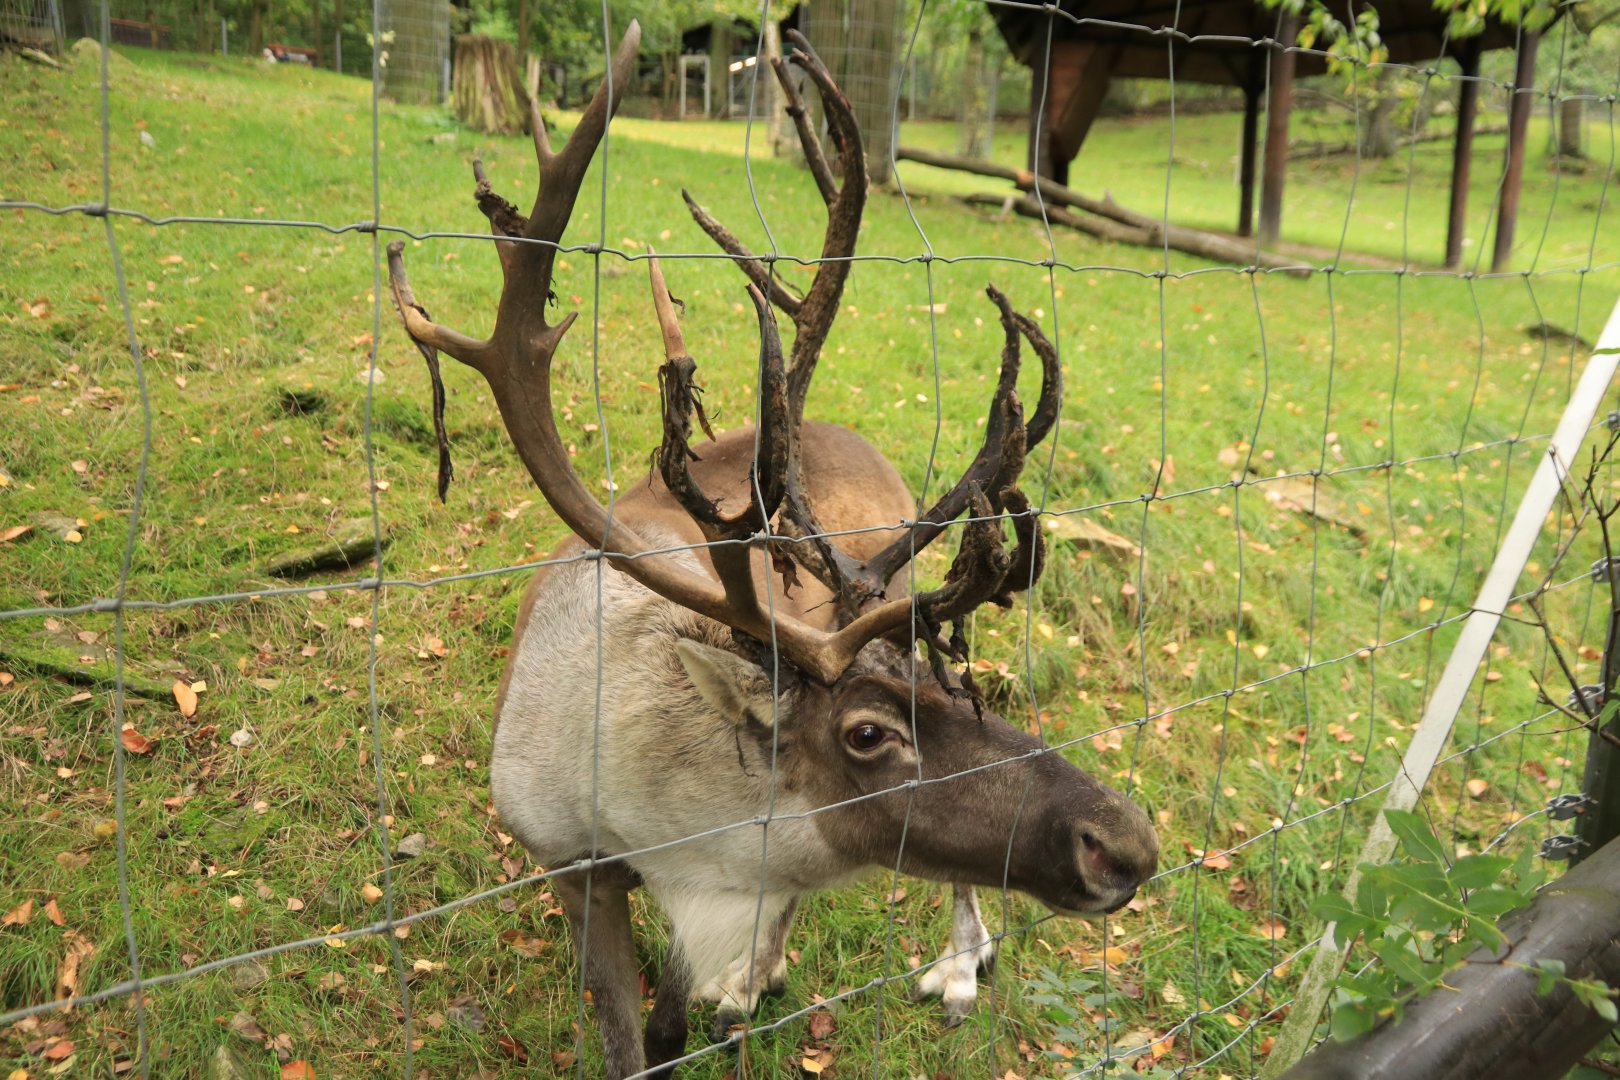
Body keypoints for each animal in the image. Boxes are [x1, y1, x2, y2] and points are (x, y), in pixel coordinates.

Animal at [385, 20, 1158, 1080]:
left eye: (946, 691)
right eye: (867, 734)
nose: (1126, 841)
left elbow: (668, 1024)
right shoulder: (571, 866)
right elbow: (630, 1036)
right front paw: (732, 987)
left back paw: (956, 964)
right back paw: (763, 975)